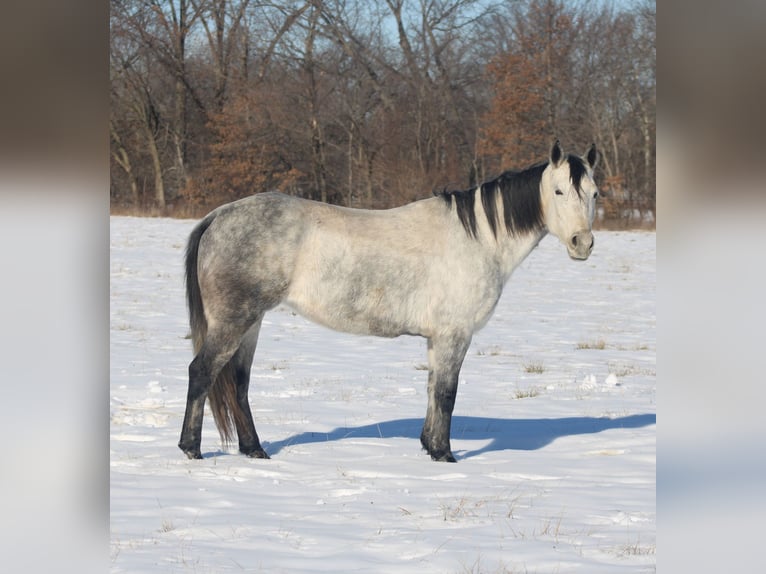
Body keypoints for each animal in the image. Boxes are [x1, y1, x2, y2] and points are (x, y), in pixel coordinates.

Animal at [178, 142, 600, 466]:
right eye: (559, 191)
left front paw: (430, 447)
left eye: (595, 194)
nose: (582, 243)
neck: (477, 239)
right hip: (234, 320)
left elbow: (432, 390)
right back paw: (191, 450)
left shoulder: (436, 338)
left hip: (251, 322)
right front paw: (445, 456)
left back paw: (255, 450)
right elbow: (447, 394)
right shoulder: (455, 335)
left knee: (238, 383)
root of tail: (218, 216)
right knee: (202, 373)